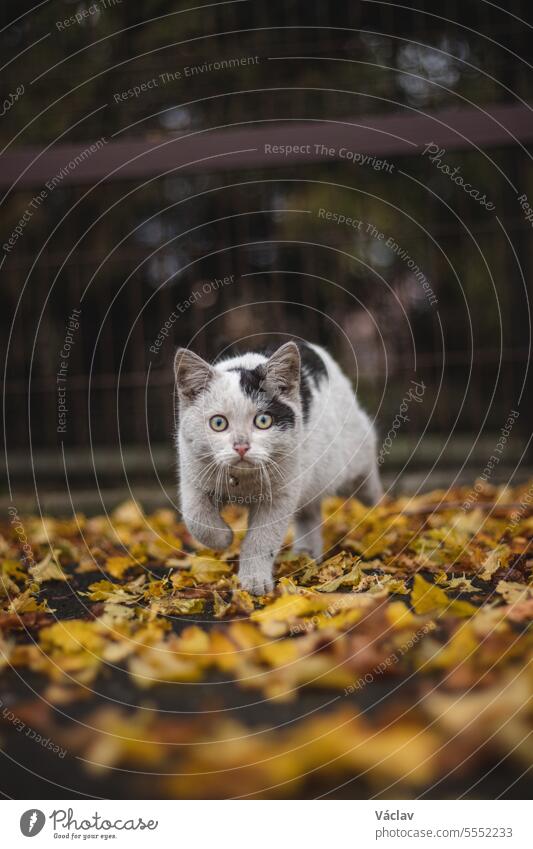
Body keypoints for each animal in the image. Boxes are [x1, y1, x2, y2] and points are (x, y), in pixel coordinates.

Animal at [172, 342, 380, 592]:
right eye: (218, 423)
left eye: (263, 421)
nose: (241, 446)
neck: (243, 482)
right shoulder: (193, 474)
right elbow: (196, 518)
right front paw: (224, 538)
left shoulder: (280, 495)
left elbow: (262, 539)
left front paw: (255, 581)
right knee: (309, 511)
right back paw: (306, 554)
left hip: (350, 455)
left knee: (367, 461)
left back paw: (377, 503)